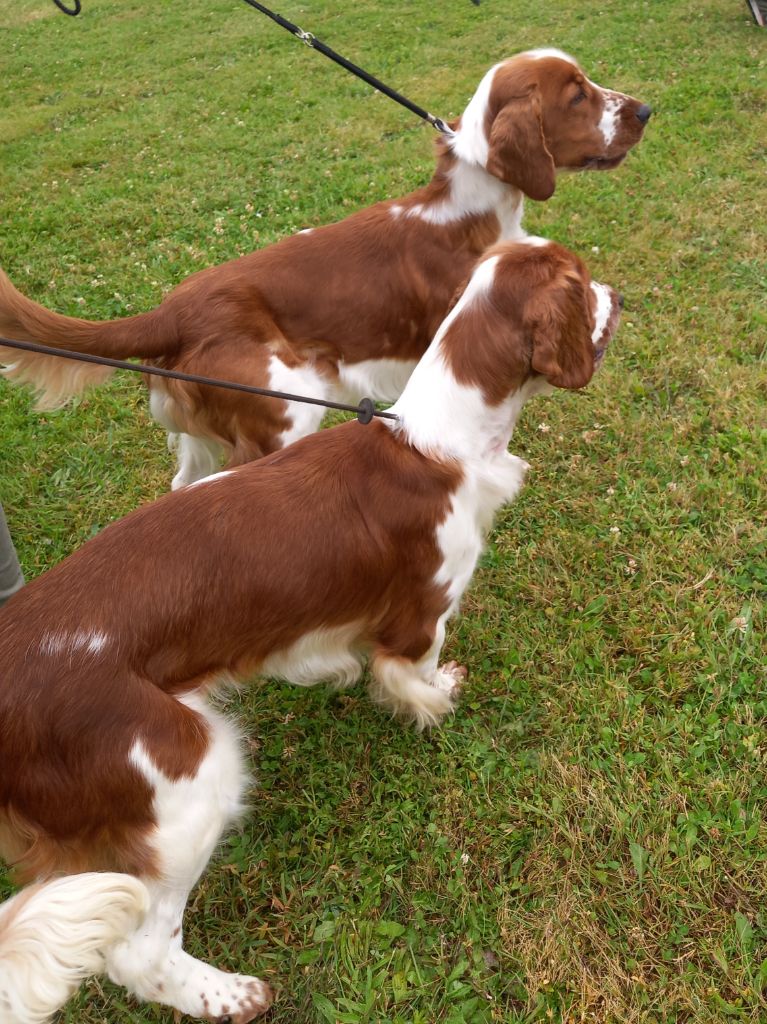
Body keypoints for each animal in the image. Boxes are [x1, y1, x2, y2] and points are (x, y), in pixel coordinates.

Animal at [0, 49, 647, 489]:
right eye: (577, 96)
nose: (645, 108)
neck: (472, 212)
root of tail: (170, 313)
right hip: (284, 415)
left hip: (200, 442)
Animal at [0, 237, 618, 1024]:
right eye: (581, 284)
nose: (620, 294)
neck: (434, 444)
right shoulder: (424, 608)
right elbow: (411, 671)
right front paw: (435, 699)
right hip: (184, 771)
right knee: (139, 952)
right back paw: (231, 994)